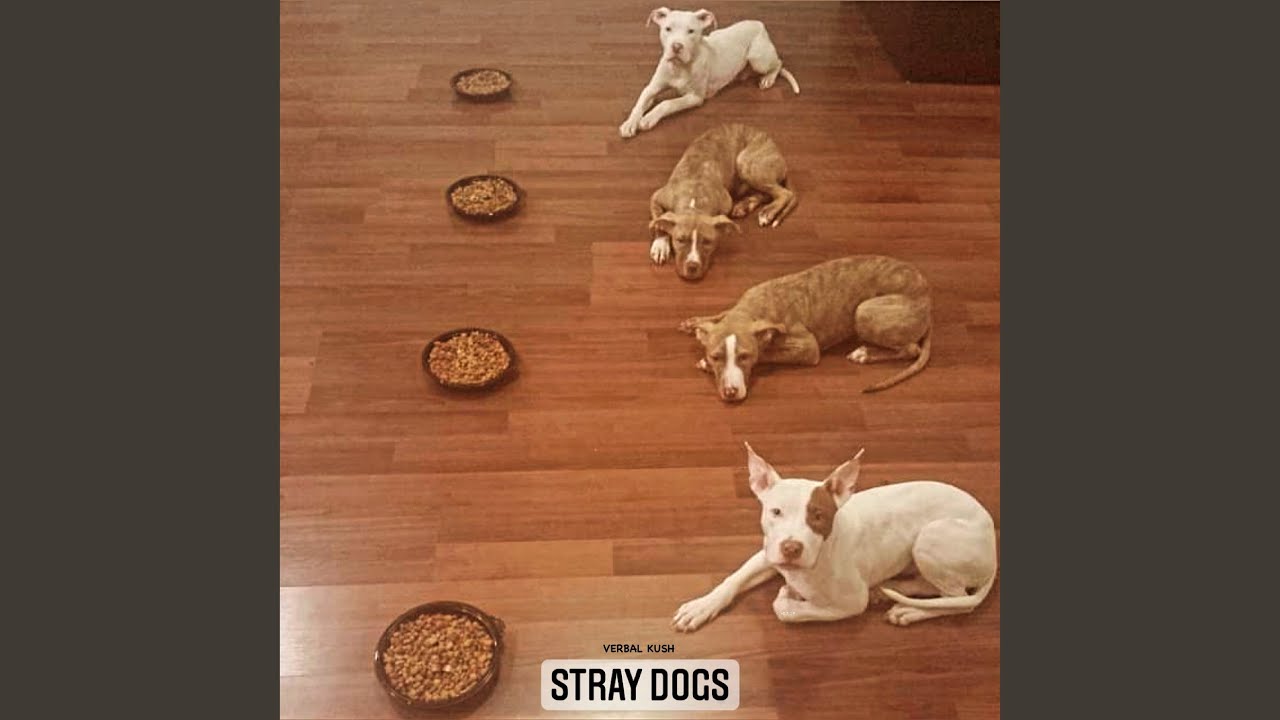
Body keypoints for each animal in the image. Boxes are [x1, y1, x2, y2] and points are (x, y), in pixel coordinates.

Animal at [619, 7, 800, 138]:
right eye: (667, 29)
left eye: (691, 31)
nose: (676, 46)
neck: (680, 67)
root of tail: (759, 24)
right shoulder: (652, 87)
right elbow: (640, 103)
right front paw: (630, 123)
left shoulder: (695, 97)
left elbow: (667, 103)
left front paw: (649, 118)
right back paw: (742, 74)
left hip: (758, 59)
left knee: (778, 63)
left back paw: (768, 78)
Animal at [648, 124, 797, 280]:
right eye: (680, 240)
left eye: (707, 242)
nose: (692, 266)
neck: (695, 201)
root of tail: (776, 149)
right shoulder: (656, 197)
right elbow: (658, 223)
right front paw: (660, 245)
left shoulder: (726, 202)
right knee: (768, 193)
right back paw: (747, 206)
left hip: (746, 163)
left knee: (784, 193)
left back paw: (768, 211)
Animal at [671, 443, 998, 632]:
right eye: (776, 511)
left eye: (818, 516)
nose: (791, 548)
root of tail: (993, 545)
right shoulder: (767, 554)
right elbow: (734, 579)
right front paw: (702, 606)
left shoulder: (852, 603)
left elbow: (788, 611)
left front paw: (788, 598)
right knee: (938, 589)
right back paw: (892, 589)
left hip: (931, 537)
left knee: (959, 601)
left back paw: (909, 611)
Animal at [678, 255, 932, 402]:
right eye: (716, 357)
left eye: (745, 357)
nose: (731, 393)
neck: (751, 309)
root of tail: (927, 297)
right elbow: (720, 315)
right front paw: (695, 324)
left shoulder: (808, 348)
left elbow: (769, 353)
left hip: (864, 311)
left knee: (912, 349)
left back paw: (865, 353)